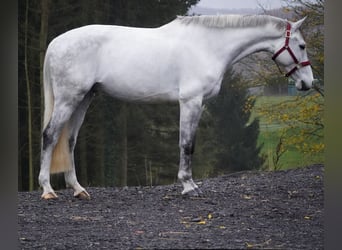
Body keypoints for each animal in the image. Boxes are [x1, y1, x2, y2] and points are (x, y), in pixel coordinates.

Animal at [38, 15, 314, 199]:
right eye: (301, 46)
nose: (308, 83)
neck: (207, 45)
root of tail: (55, 43)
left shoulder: (198, 104)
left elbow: (189, 144)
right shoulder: (190, 101)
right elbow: (186, 144)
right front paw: (188, 186)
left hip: (84, 98)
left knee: (69, 140)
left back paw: (78, 189)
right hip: (69, 98)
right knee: (50, 135)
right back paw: (48, 190)